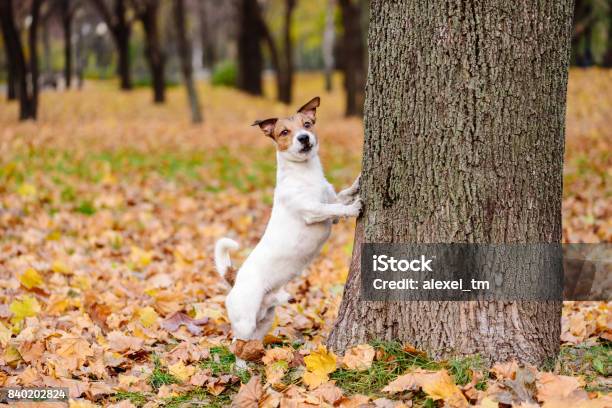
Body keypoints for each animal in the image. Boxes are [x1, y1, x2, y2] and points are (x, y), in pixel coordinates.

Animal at [215, 97, 360, 342]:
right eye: (284, 132)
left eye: (307, 124)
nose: (304, 138)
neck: (305, 173)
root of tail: (235, 278)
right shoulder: (313, 211)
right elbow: (335, 208)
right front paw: (355, 207)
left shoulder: (330, 199)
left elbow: (342, 196)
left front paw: (358, 184)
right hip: (245, 322)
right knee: (236, 342)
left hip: (265, 319)